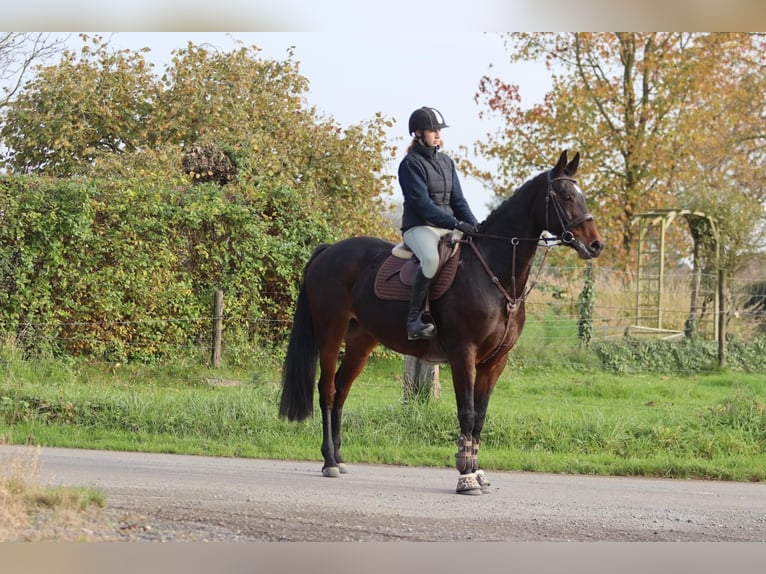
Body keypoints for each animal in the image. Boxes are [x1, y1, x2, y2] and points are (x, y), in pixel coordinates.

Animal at [280, 148, 608, 496]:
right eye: (565, 195)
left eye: (581, 195)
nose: (596, 245)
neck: (493, 273)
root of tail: (330, 250)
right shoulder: (464, 354)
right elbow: (467, 412)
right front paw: (466, 476)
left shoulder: (495, 361)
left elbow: (480, 416)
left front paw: (477, 472)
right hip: (330, 332)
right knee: (328, 390)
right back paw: (329, 461)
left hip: (361, 341)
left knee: (342, 390)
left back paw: (340, 459)